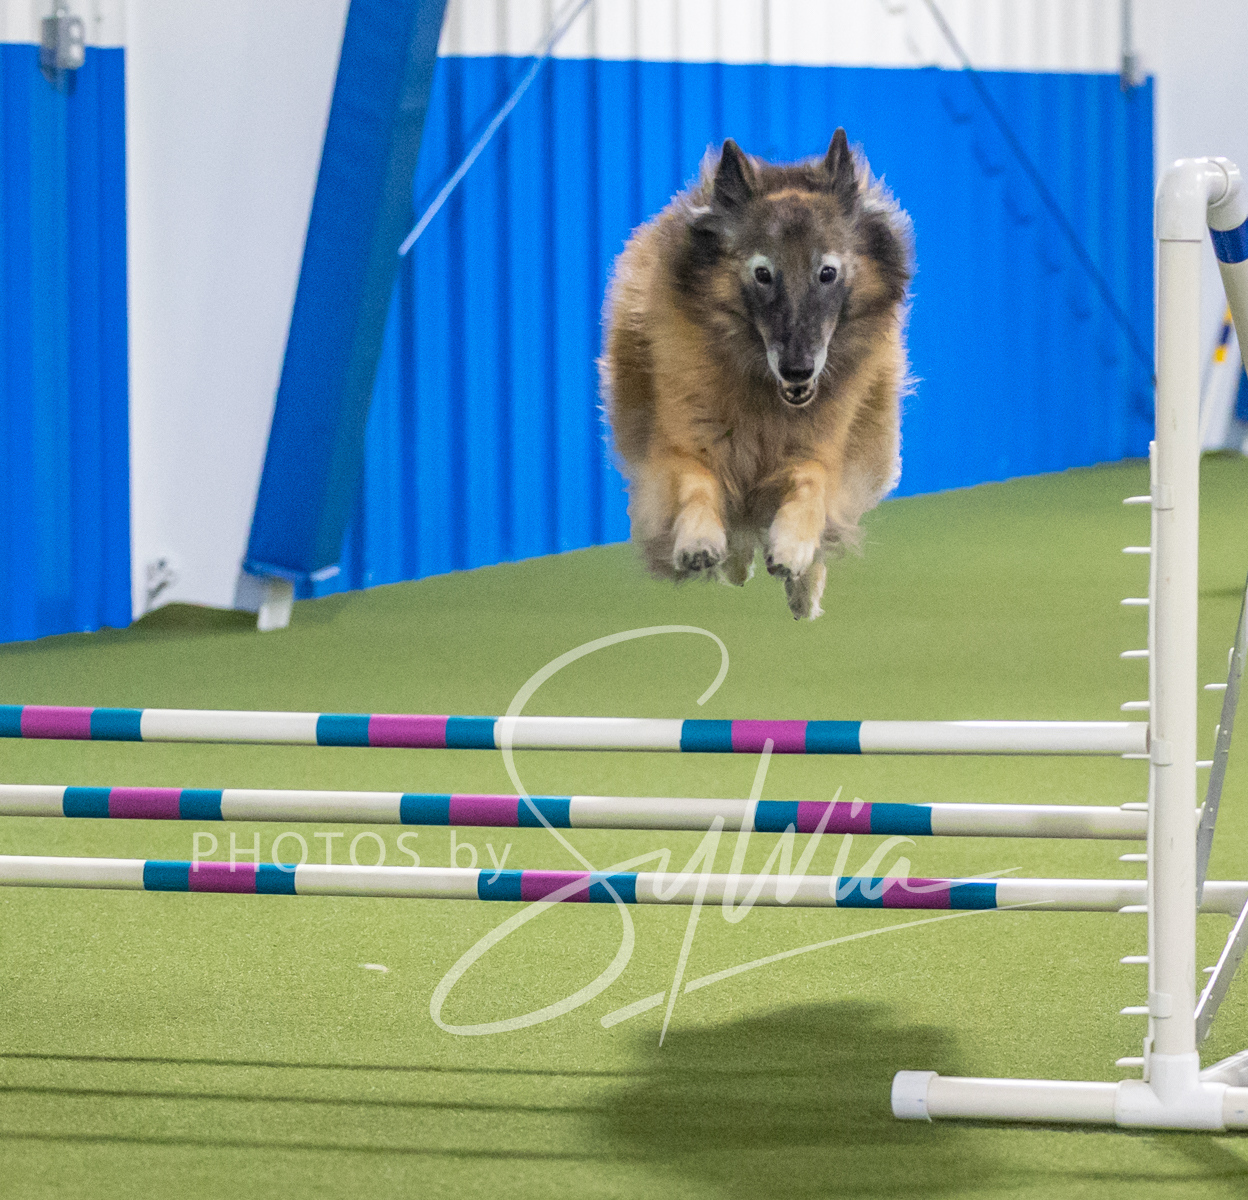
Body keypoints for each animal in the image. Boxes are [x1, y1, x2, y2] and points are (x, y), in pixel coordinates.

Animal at [601, 129, 912, 619]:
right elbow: (695, 482)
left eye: (827, 272)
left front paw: (792, 549)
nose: (798, 369)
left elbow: (812, 484)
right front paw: (699, 540)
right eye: (763, 274)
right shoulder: (681, 443)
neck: (763, 393)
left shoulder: (822, 448)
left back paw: (802, 590)